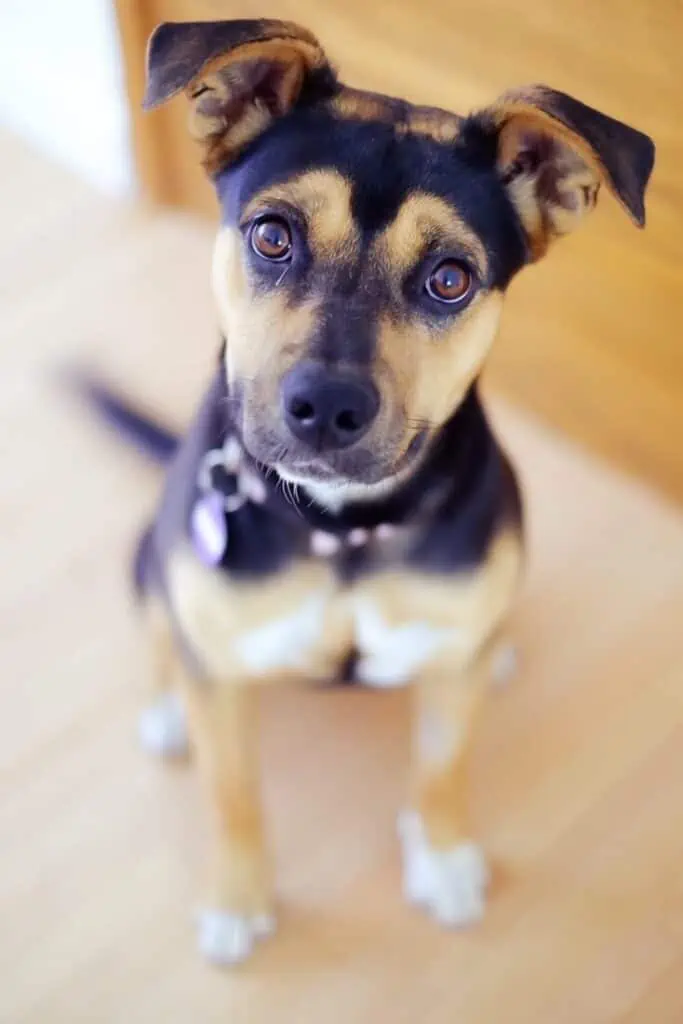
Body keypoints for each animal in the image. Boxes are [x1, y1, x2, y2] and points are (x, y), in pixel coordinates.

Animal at [82, 18, 655, 966]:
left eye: (450, 278)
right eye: (272, 235)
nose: (327, 407)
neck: (342, 528)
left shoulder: (448, 673)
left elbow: (442, 770)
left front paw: (444, 857)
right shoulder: (222, 685)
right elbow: (233, 797)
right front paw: (238, 900)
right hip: (147, 564)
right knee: (165, 633)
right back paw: (166, 709)